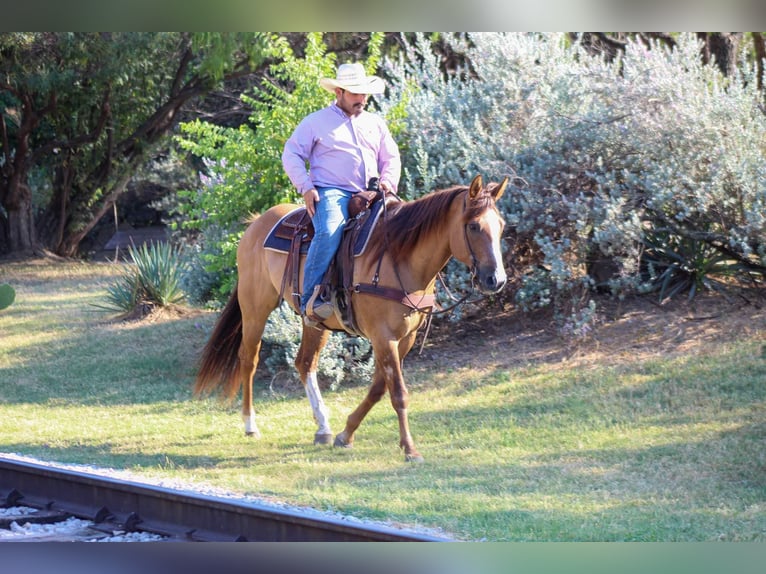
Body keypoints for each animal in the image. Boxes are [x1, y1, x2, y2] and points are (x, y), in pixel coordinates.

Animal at [194, 174, 508, 462]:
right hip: (255, 307)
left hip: (314, 322)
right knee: (249, 359)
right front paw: (410, 449)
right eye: (473, 226)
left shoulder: (405, 338)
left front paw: (346, 434)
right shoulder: (383, 337)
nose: (496, 280)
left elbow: (379, 388)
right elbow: (398, 392)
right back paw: (250, 424)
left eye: (501, 226)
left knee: (304, 363)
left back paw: (323, 427)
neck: (399, 257)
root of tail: (257, 222)